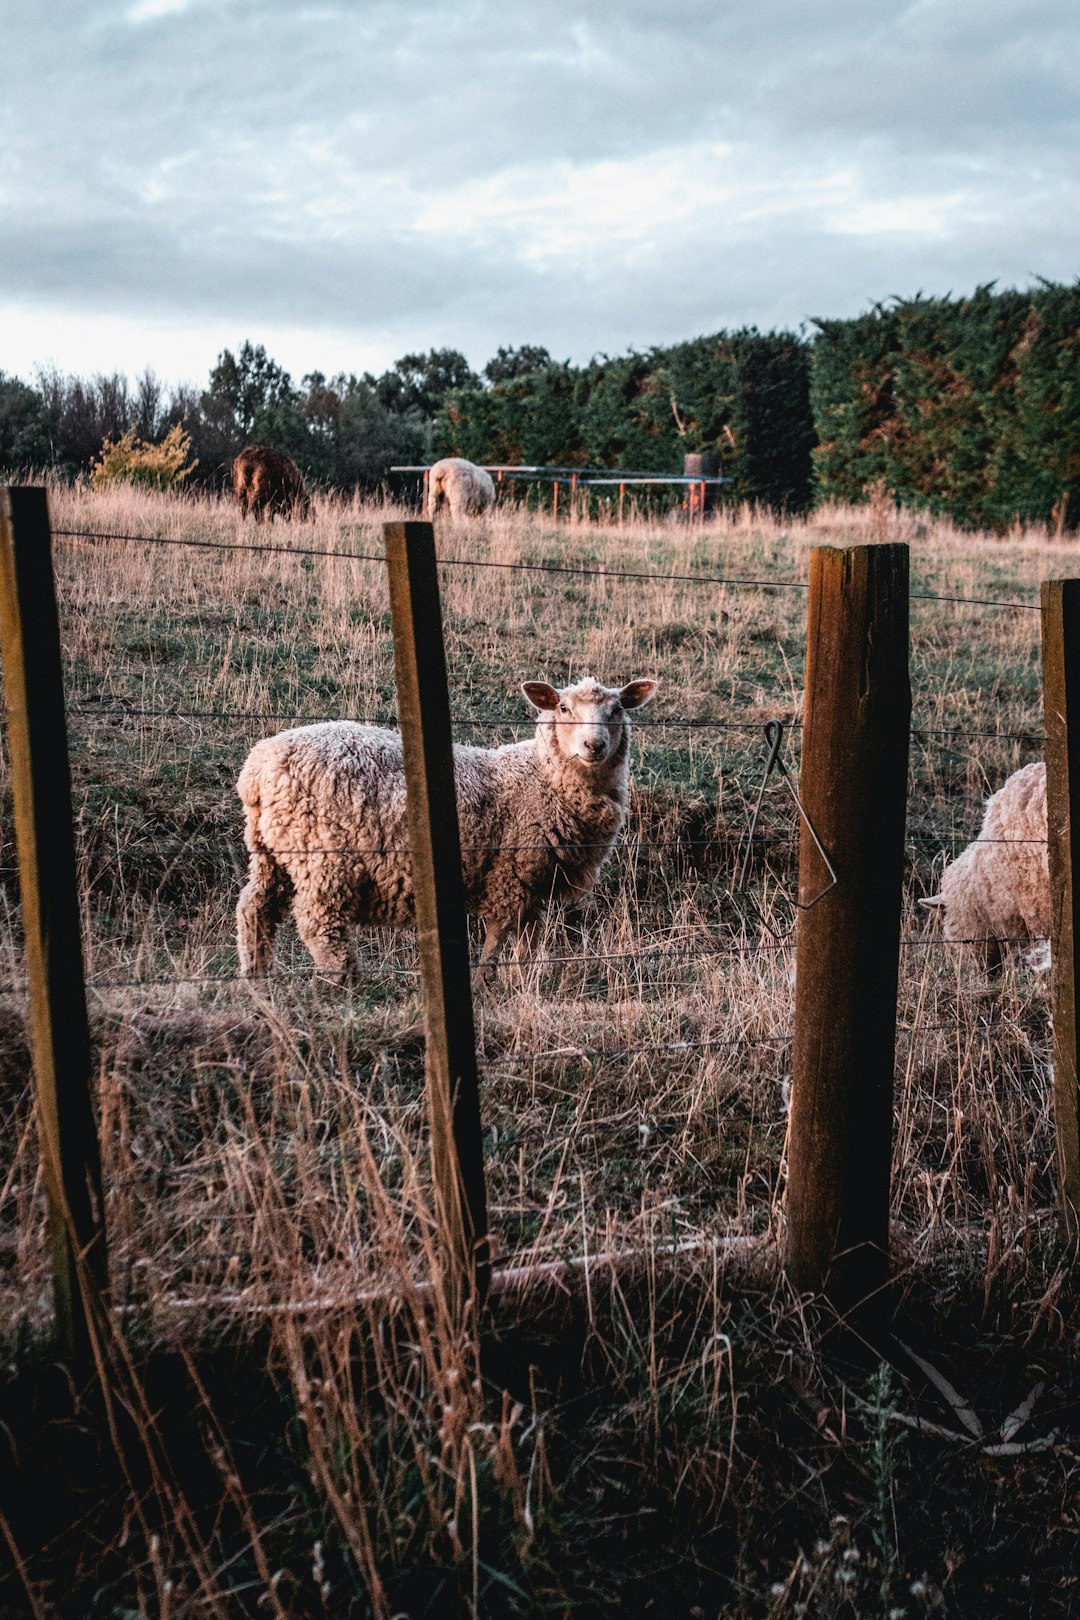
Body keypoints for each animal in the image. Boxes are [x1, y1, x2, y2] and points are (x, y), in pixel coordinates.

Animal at [236, 670, 660, 972]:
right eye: (563, 709)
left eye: (617, 710)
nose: (594, 746)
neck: (541, 777)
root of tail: (258, 767)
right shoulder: (509, 878)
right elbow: (497, 943)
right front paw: (489, 985)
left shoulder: (534, 887)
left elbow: (528, 947)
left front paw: (524, 986)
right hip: (324, 858)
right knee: (319, 925)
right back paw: (346, 987)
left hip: (272, 851)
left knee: (254, 908)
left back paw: (258, 981)